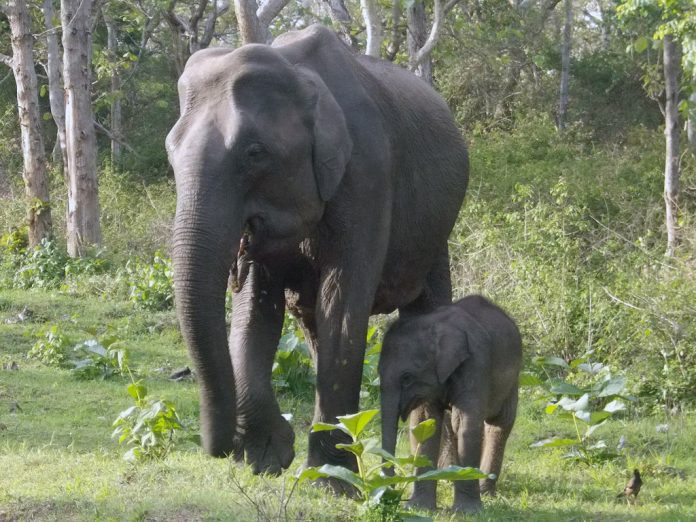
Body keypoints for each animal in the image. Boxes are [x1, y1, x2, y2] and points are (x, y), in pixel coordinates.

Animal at [165, 24, 469, 476]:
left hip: (436, 230)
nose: (221, 448)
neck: (298, 72)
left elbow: (342, 310)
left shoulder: (368, 175)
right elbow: (255, 312)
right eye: (170, 152)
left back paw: (436, 467)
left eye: (254, 152)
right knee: (310, 322)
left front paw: (330, 477)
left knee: (426, 311)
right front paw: (266, 457)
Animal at [379, 295, 522, 513]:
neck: (433, 324)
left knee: (499, 422)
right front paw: (418, 508)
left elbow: (466, 425)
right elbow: (425, 424)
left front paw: (468, 512)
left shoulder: (476, 364)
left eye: (407, 378)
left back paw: (484, 490)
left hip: (513, 378)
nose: (390, 493)